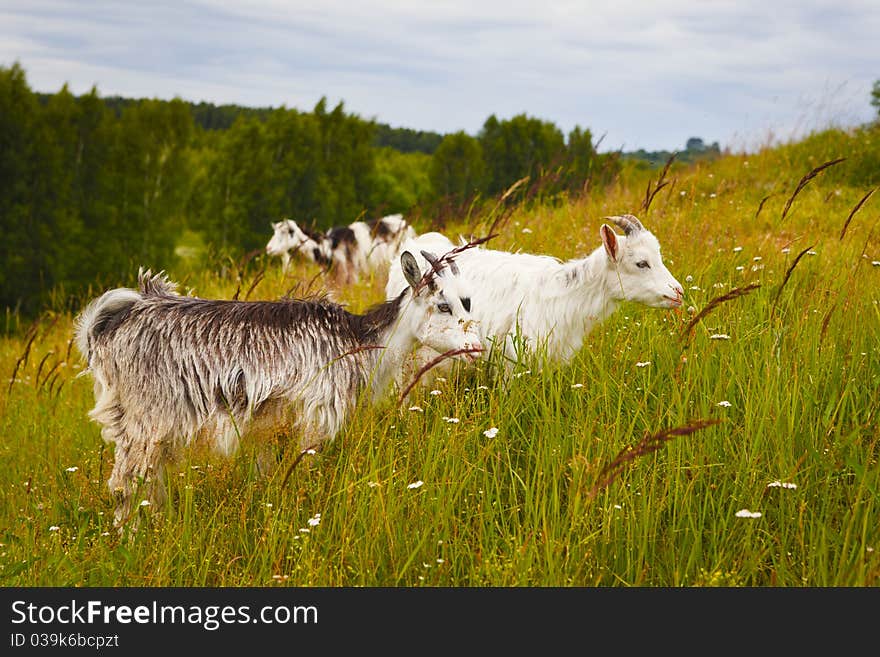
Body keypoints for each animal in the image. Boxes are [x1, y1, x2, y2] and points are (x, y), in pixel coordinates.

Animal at [75, 252, 482, 528]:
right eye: (442, 305)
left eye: (468, 301)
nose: (476, 348)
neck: (357, 342)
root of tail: (114, 319)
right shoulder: (317, 413)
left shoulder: (268, 425)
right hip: (146, 416)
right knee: (127, 482)